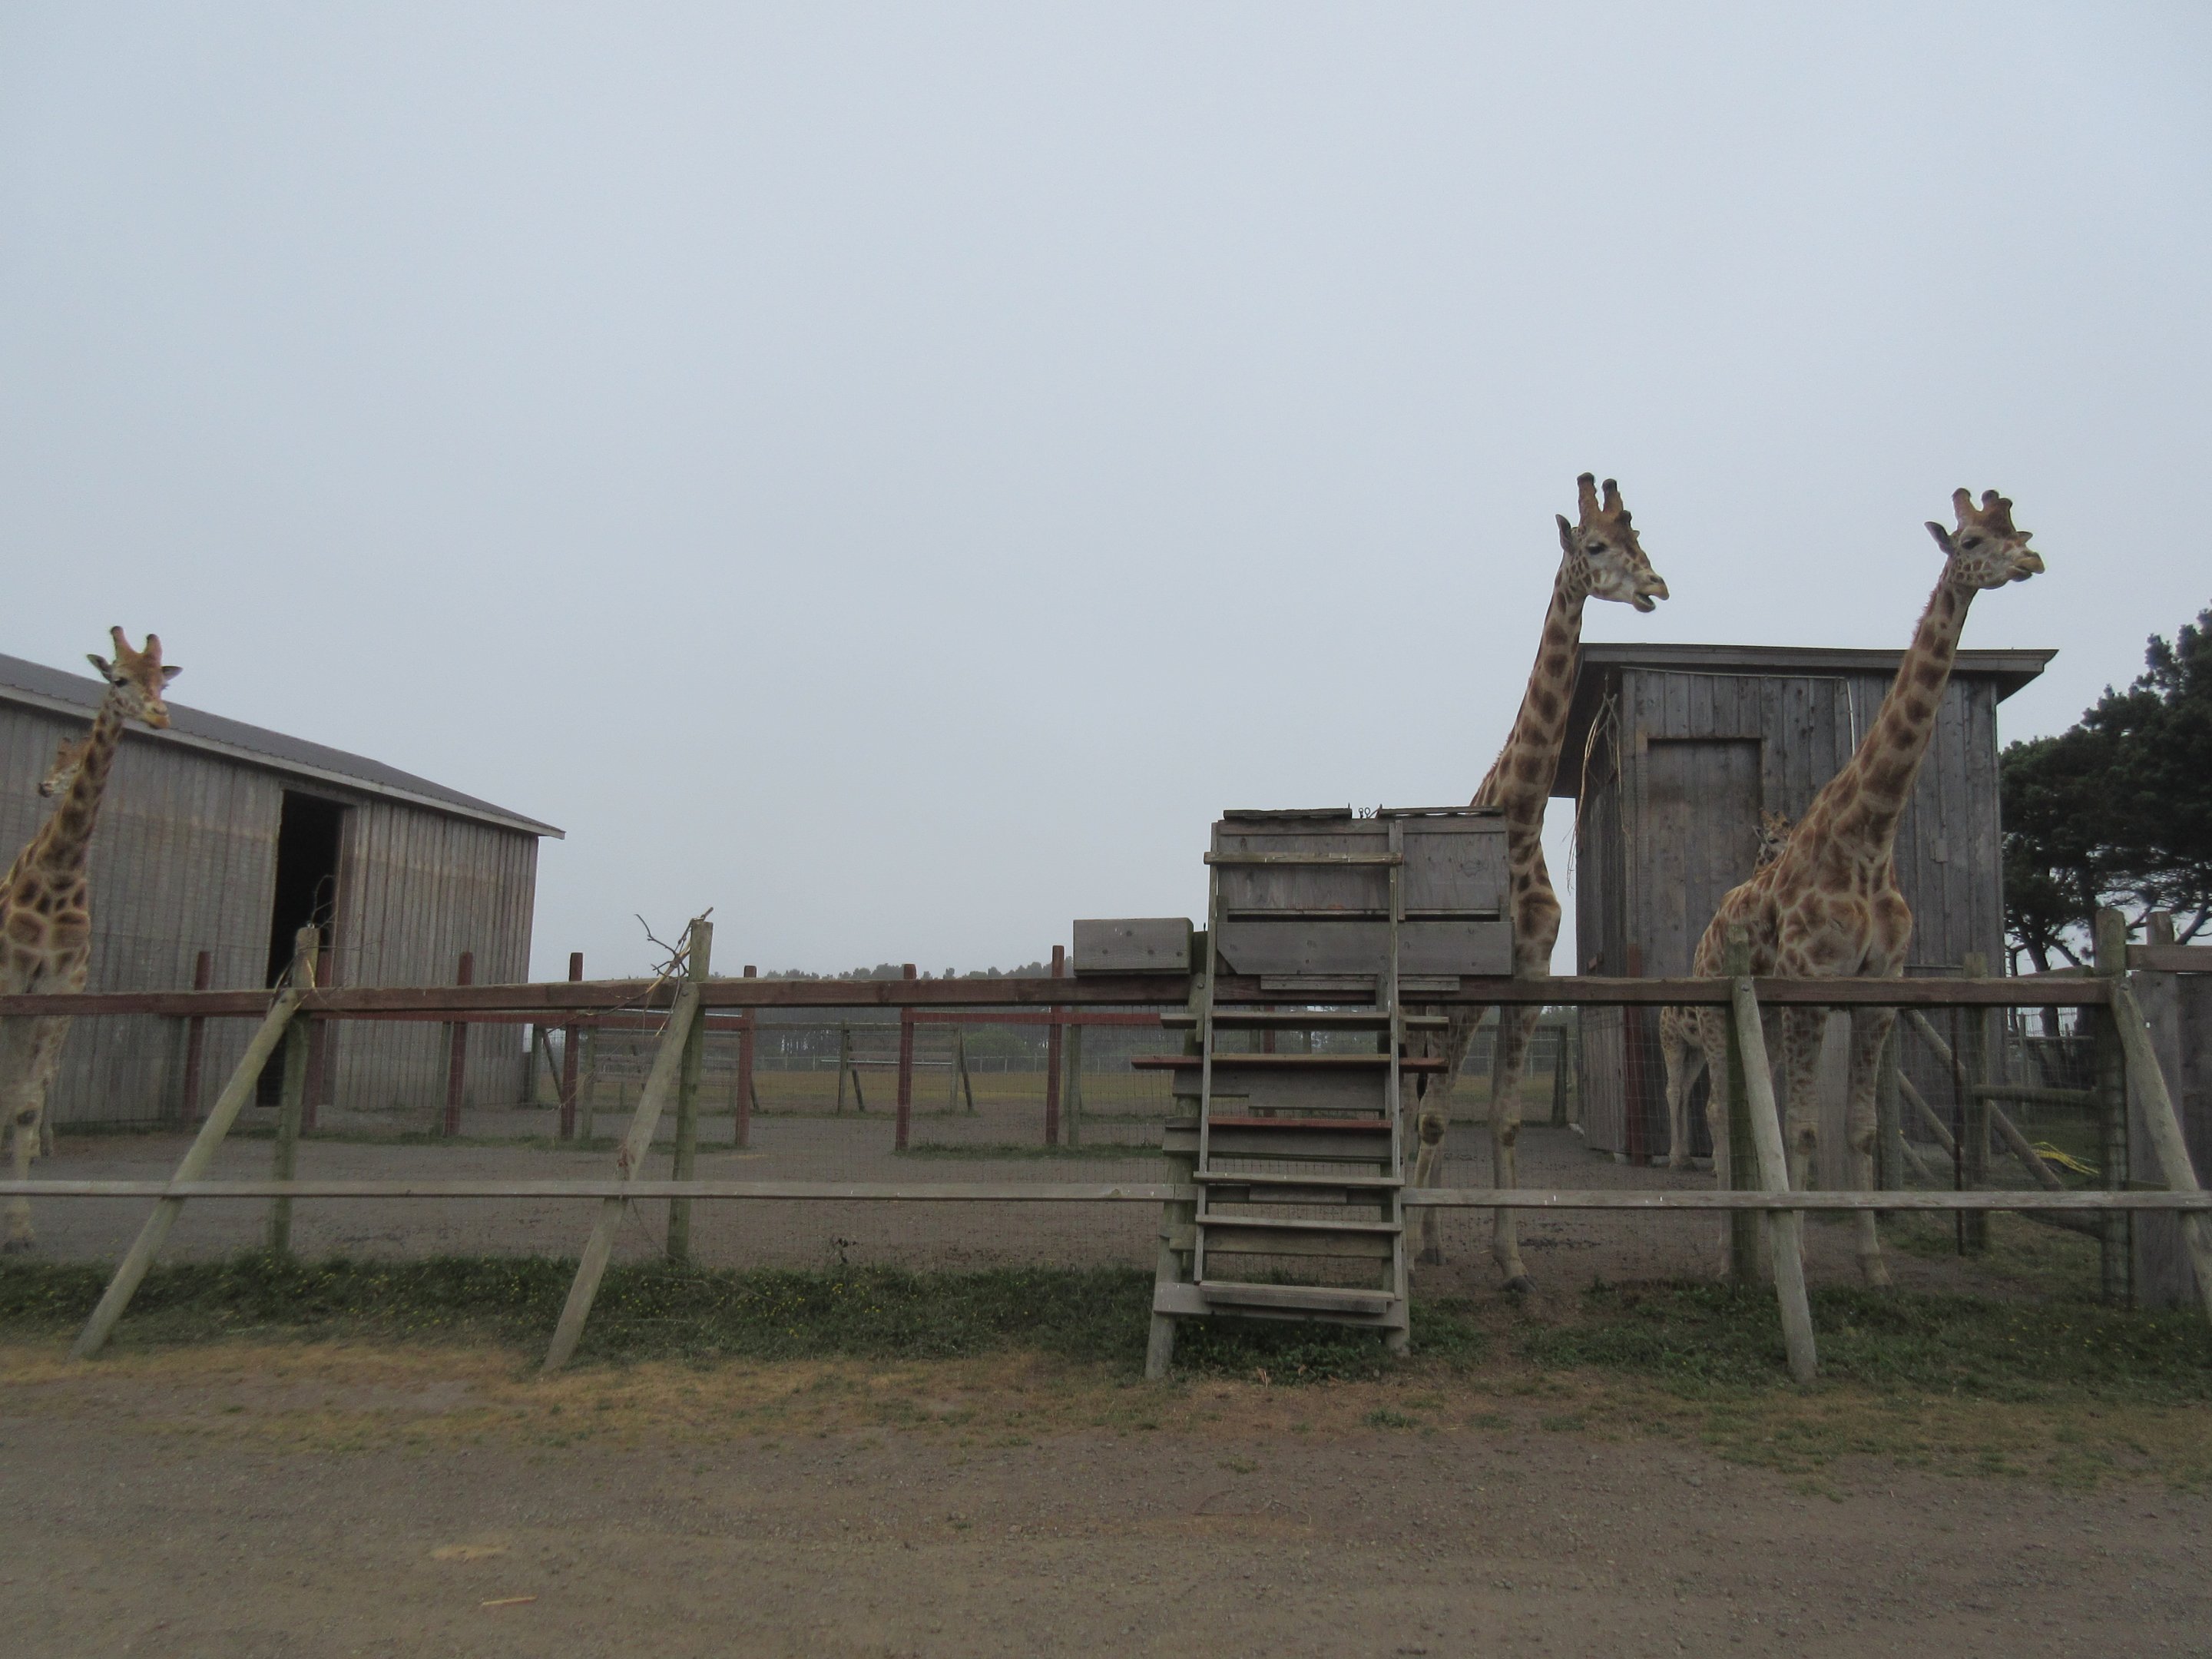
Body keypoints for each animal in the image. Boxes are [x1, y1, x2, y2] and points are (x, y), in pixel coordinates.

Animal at [1, 630, 181, 1251]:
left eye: (161, 680)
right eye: (117, 678)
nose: (160, 715)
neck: (59, 872)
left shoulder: (58, 989)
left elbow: (25, 1103)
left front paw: (21, 1229)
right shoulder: (12, 980)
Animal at [1411, 474, 1669, 1282]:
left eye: (1638, 538)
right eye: (1595, 545)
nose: (1657, 586)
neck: (1519, 825)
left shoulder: (1527, 980)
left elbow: (1504, 1117)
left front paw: (1512, 1262)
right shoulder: (1464, 989)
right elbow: (1437, 1116)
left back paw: (1431, 1236)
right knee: (1416, 1103)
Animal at [1657, 809, 1792, 1169]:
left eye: (1792, 832)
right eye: (1771, 839)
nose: (1787, 857)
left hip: (1696, 1052)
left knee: (1686, 1091)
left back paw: (1691, 1156)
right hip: (1673, 1043)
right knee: (1673, 1090)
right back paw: (1677, 1157)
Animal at [1686, 490, 2043, 1285]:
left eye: (2021, 531)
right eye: (1971, 541)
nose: (2032, 562)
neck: (1870, 841)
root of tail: (1709, 929)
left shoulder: (1878, 989)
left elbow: (1860, 1129)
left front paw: (1873, 1264)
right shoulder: (1810, 982)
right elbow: (1803, 1129)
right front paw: (1799, 1259)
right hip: (1721, 1013)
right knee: (1721, 1116)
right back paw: (1725, 1256)